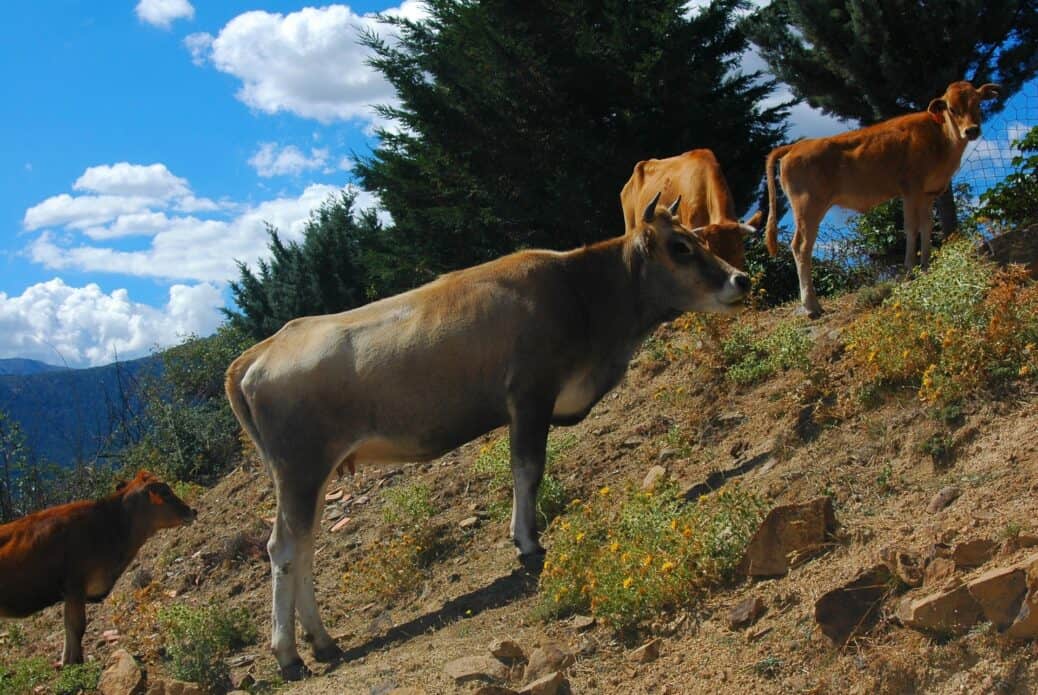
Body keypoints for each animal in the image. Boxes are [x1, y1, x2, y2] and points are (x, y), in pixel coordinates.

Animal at [0, 471, 196, 665]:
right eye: (165, 493)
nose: (192, 510)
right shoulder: (75, 587)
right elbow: (77, 626)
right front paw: (75, 662)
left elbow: (69, 627)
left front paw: (67, 661)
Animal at [225, 193, 751, 679]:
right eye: (680, 247)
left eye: (700, 238)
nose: (740, 279)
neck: (581, 293)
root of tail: (263, 349)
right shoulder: (530, 394)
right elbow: (528, 469)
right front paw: (529, 543)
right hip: (300, 468)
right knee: (283, 549)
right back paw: (289, 656)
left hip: (314, 473)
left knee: (304, 547)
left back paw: (323, 642)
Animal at [764, 80, 1001, 317]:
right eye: (951, 109)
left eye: (977, 103)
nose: (971, 130)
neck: (939, 138)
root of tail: (796, 146)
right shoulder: (910, 190)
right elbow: (911, 227)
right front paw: (910, 269)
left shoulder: (928, 194)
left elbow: (927, 226)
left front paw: (925, 266)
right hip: (808, 207)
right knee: (801, 247)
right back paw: (812, 306)